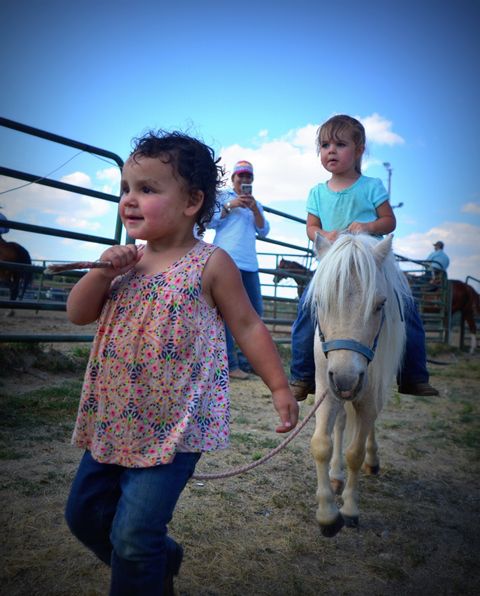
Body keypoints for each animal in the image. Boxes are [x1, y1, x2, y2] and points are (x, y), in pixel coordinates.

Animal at [306, 232, 406, 536]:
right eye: (320, 301)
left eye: (380, 304)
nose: (346, 379)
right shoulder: (327, 391)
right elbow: (321, 444)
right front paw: (327, 513)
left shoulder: (368, 395)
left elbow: (355, 452)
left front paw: (349, 510)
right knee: (340, 425)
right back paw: (336, 476)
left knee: (370, 427)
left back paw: (372, 462)